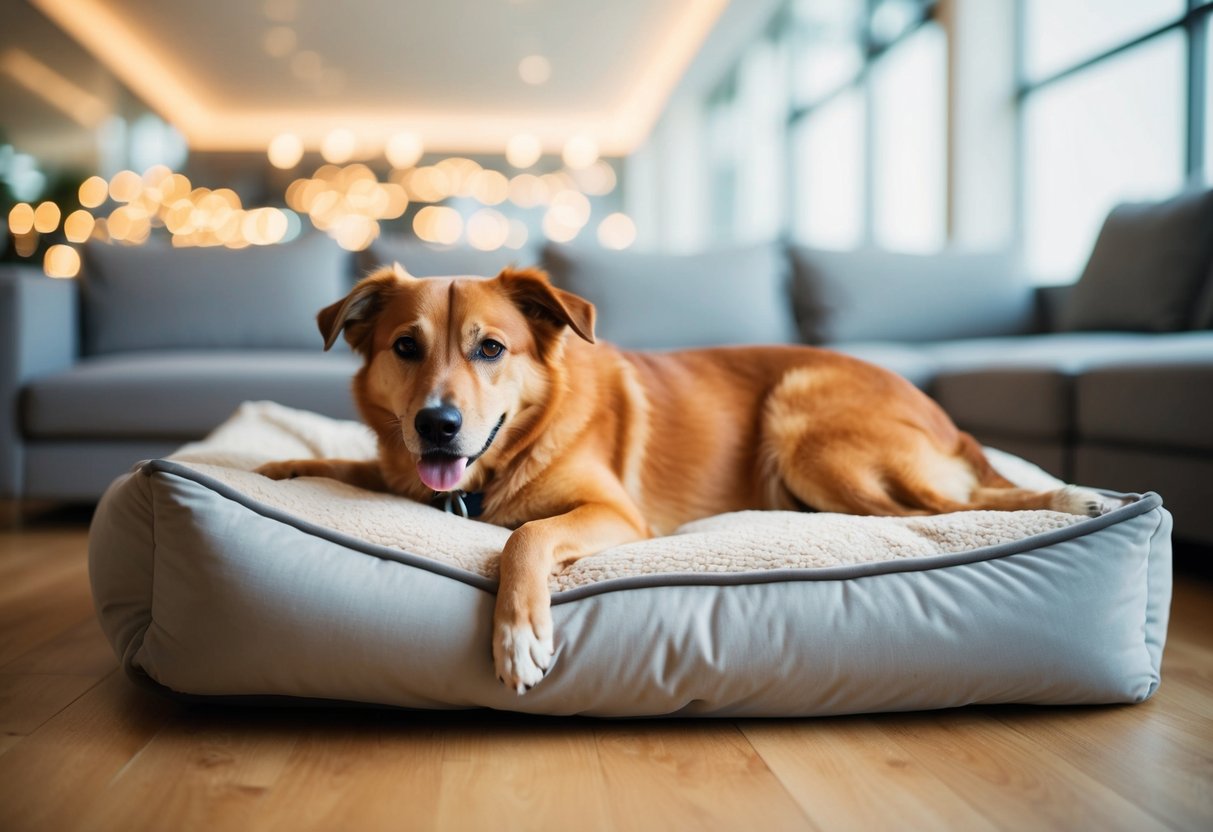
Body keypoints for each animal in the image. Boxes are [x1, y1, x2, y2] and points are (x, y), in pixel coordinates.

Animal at [255, 265, 1115, 688]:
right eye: (405, 347)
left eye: (489, 349)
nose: (437, 425)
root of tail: (939, 414)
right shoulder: (407, 469)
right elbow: (360, 463)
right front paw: (284, 462)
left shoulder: (612, 515)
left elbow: (523, 539)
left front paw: (520, 633)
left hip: (806, 434)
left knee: (956, 506)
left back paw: (1076, 496)